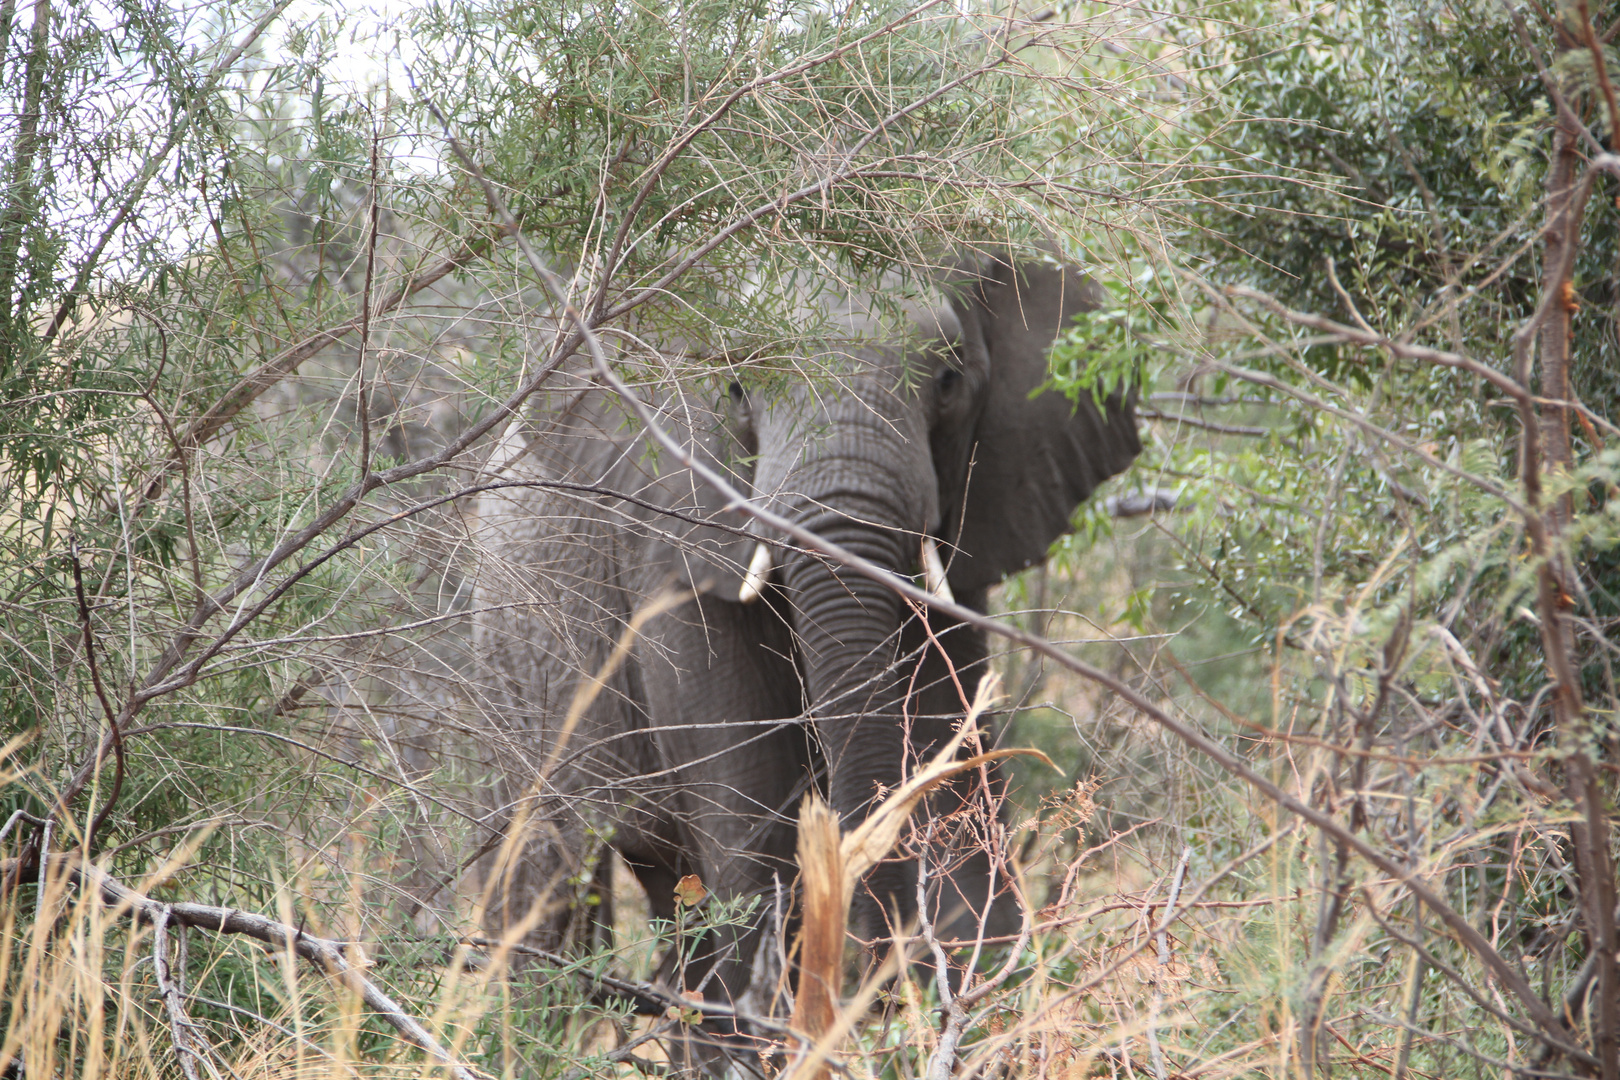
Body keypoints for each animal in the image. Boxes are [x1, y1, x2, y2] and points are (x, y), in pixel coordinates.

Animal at [466, 254, 1140, 1029]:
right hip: (512, 662)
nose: (876, 984)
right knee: (546, 882)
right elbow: (752, 840)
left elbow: (959, 800)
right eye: (734, 387)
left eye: (949, 380)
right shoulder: (669, 542)